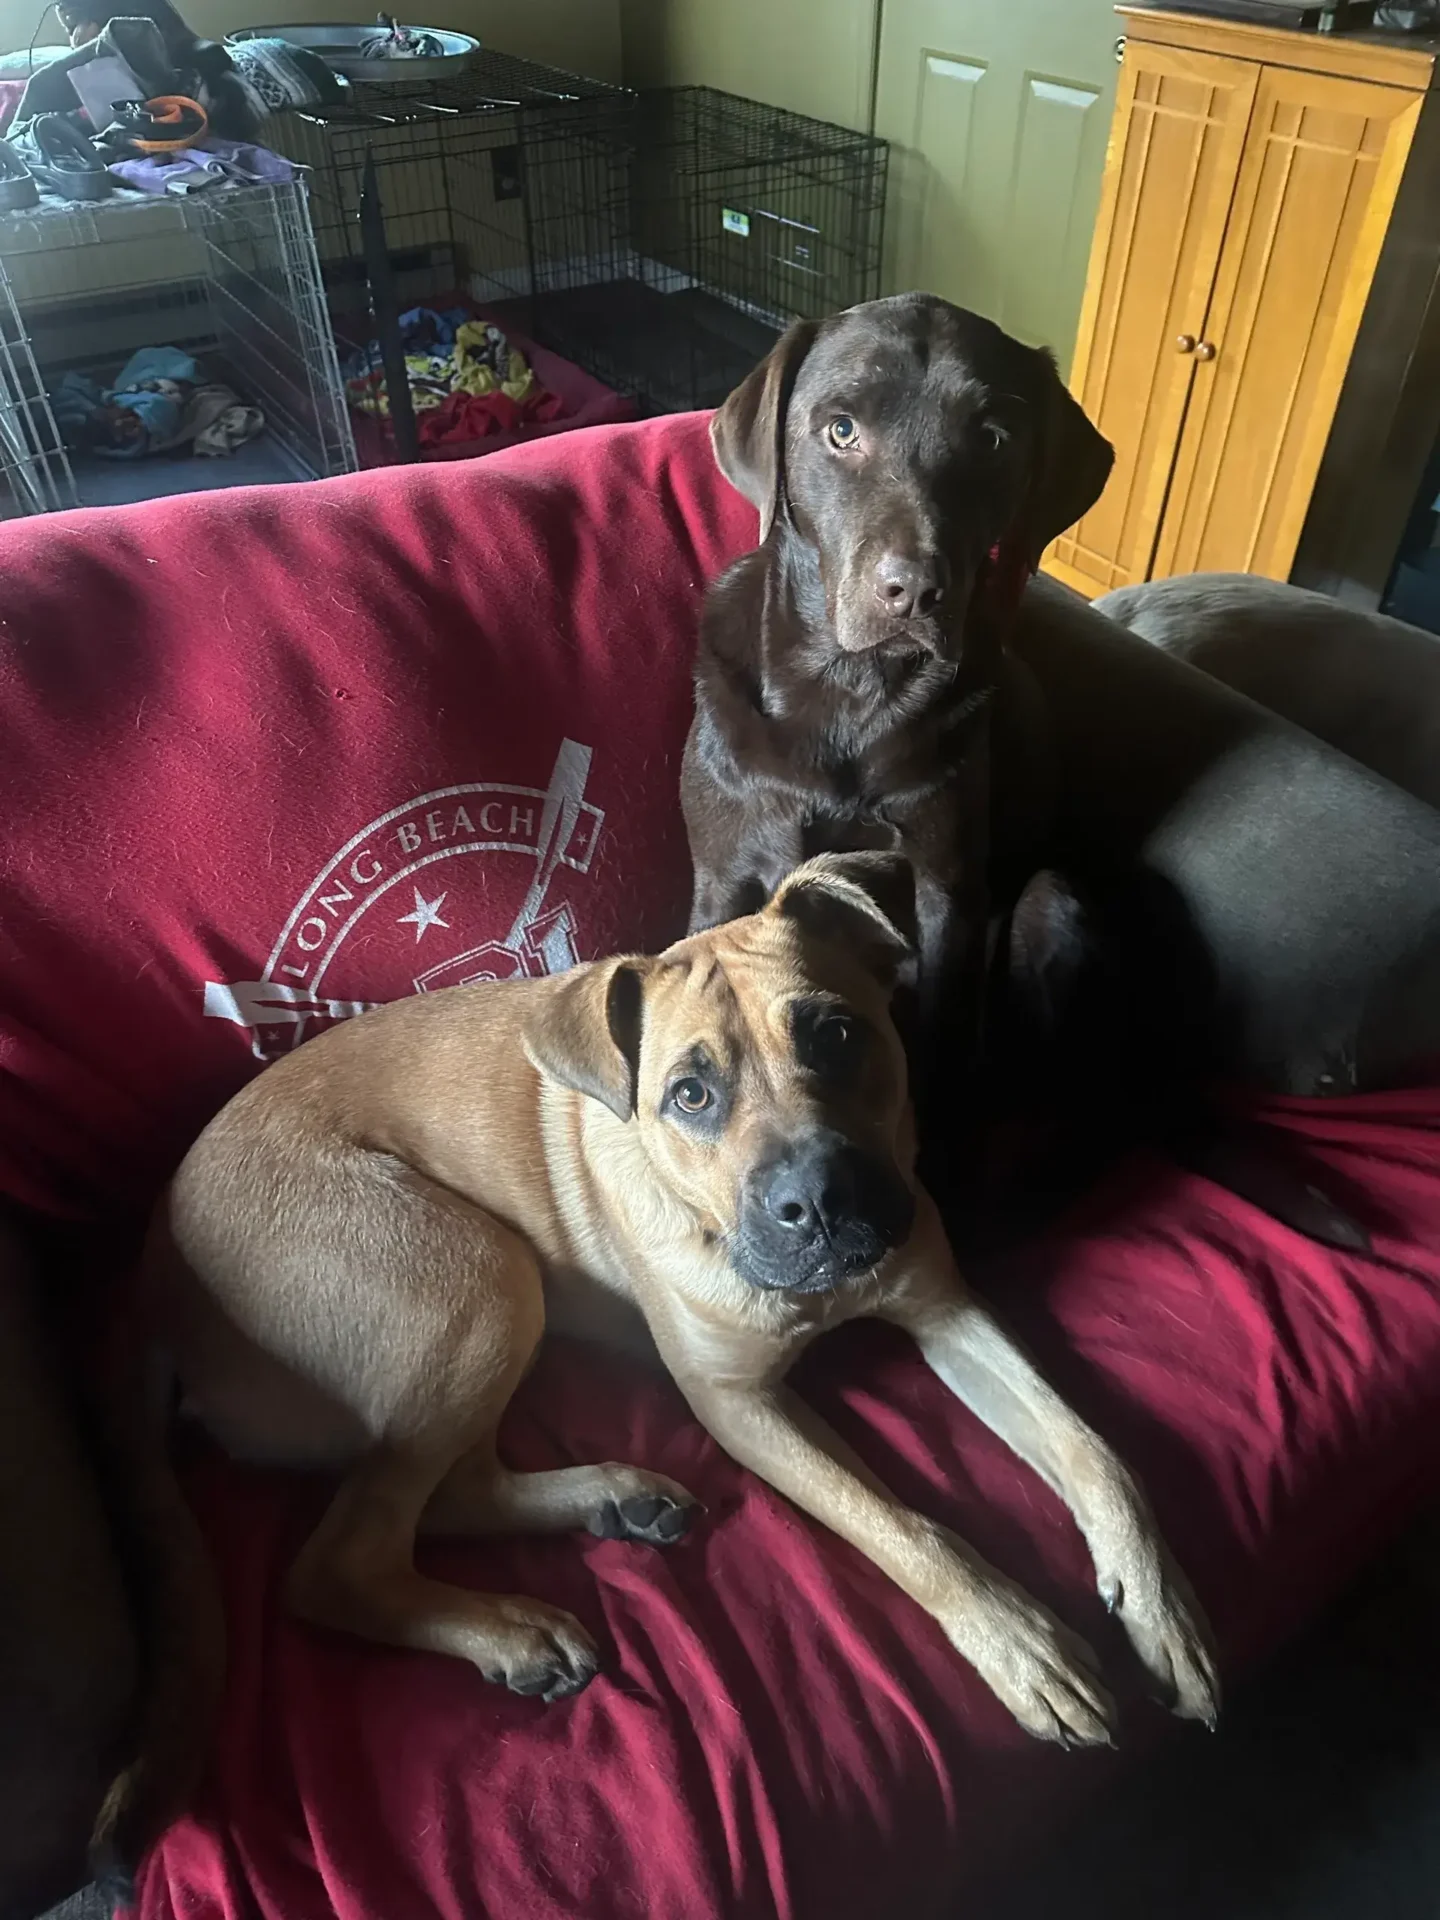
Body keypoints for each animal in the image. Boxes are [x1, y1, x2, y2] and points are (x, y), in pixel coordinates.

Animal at [146, 864, 1221, 1751]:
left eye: (837, 1035)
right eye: (690, 1095)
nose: (821, 1203)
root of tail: (161, 1282)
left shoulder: (948, 1309)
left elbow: (1093, 1449)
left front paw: (1163, 1607)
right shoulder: (739, 1404)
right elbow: (903, 1528)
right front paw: (1019, 1647)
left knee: (447, 1491)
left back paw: (612, 1500)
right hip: (478, 1275)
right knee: (342, 1560)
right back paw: (508, 1627)